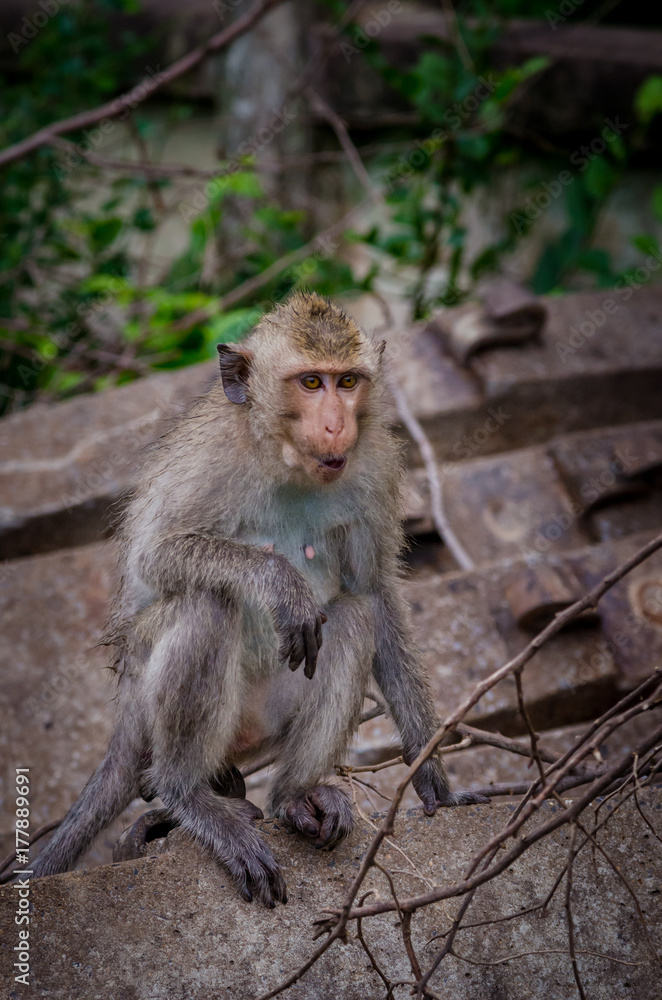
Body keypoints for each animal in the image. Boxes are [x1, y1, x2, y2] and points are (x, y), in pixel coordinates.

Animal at [28, 292, 487, 906]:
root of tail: (124, 711)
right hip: (147, 692)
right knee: (206, 603)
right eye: (311, 382)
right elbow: (154, 556)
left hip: (261, 727)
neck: (285, 459)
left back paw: (293, 796)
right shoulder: (211, 459)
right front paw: (278, 582)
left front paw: (435, 783)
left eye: (347, 382)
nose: (336, 424)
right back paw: (190, 796)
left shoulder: (374, 465)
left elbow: (375, 593)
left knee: (352, 618)